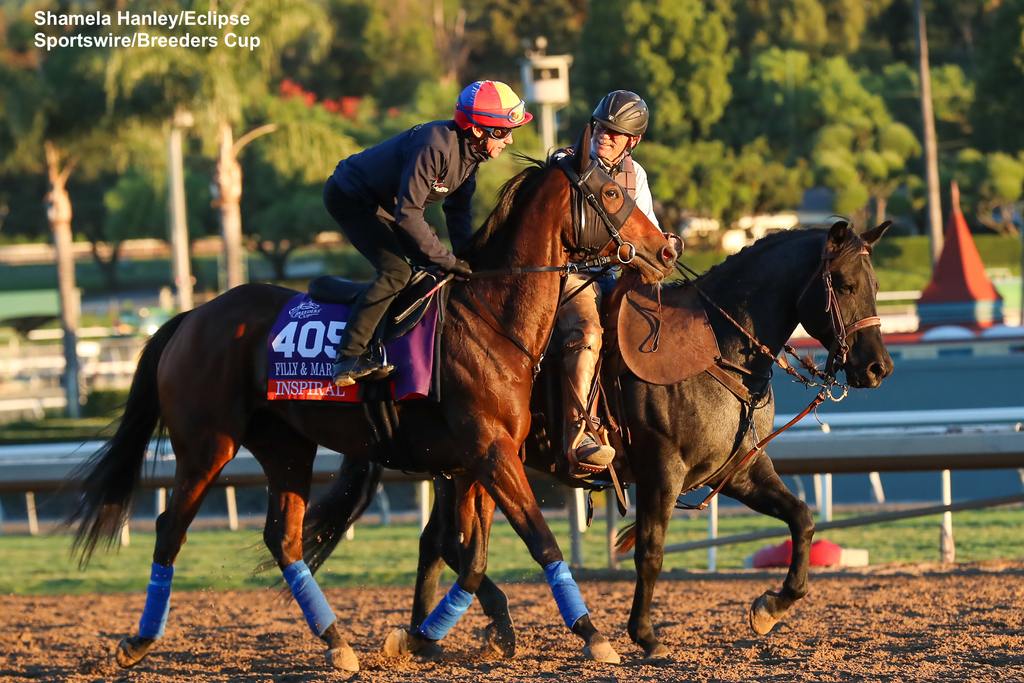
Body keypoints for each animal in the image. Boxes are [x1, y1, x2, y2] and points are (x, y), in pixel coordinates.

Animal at [70, 135, 679, 671]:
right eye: (612, 193)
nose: (666, 248)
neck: (491, 318)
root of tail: (191, 317)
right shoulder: (490, 453)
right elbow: (537, 539)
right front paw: (593, 635)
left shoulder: (476, 460)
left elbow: (472, 557)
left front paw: (425, 637)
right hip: (206, 444)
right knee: (171, 527)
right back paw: (139, 642)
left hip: (286, 446)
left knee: (283, 538)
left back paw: (338, 644)